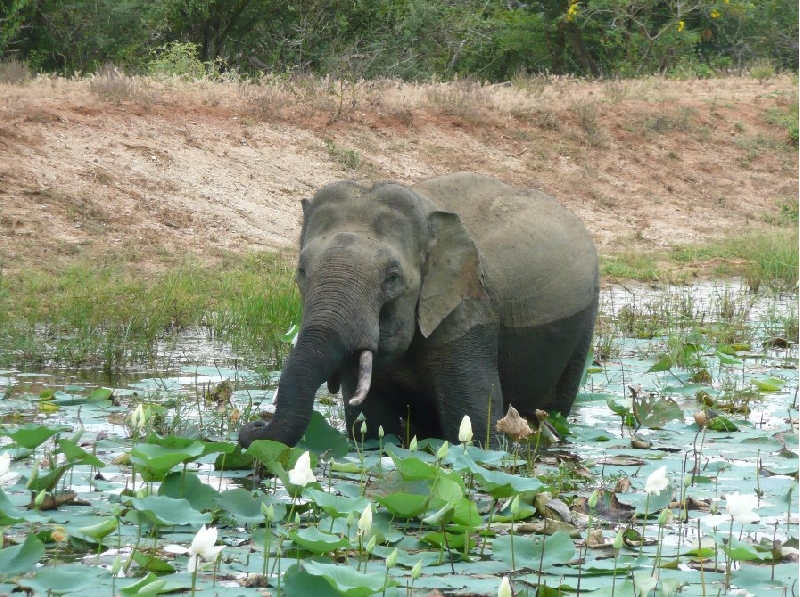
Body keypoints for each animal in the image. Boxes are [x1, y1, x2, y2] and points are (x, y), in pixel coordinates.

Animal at [238, 171, 600, 448]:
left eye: (392, 278)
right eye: (301, 271)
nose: (253, 425)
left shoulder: (468, 316)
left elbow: (476, 429)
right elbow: (371, 426)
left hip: (584, 324)